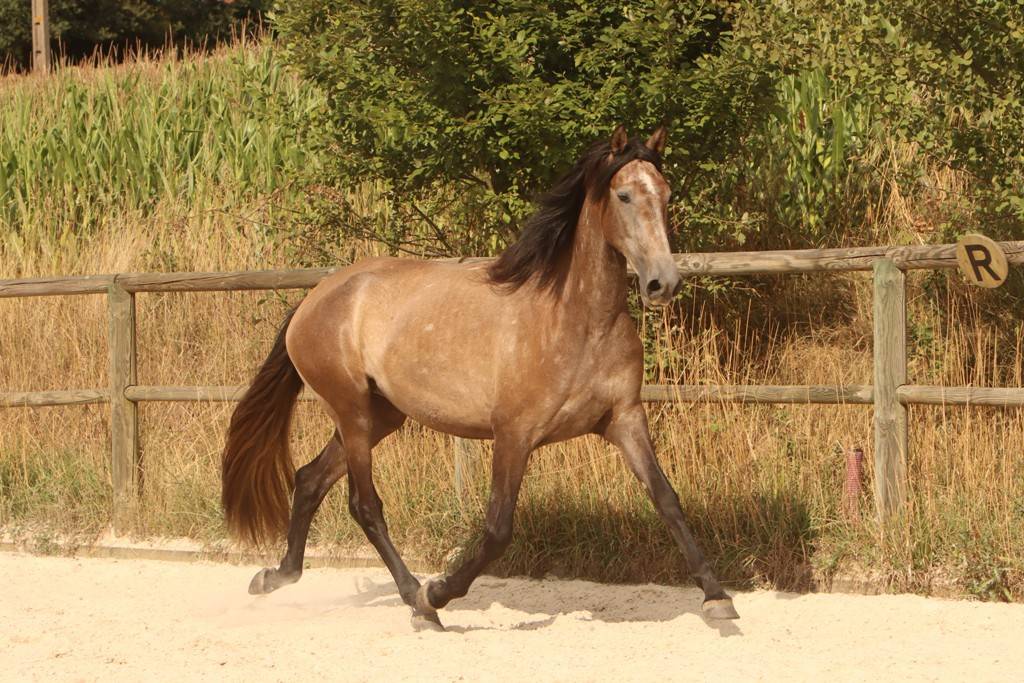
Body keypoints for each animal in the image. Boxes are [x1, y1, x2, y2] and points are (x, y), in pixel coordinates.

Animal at [221, 125, 739, 630]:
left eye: (667, 194)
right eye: (625, 195)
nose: (662, 284)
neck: (578, 322)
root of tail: (315, 298)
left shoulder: (625, 419)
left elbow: (667, 500)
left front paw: (718, 599)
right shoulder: (513, 434)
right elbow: (497, 531)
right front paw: (437, 593)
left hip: (380, 415)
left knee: (309, 479)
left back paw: (274, 577)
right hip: (352, 413)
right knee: (364, 505)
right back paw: (417, 601)